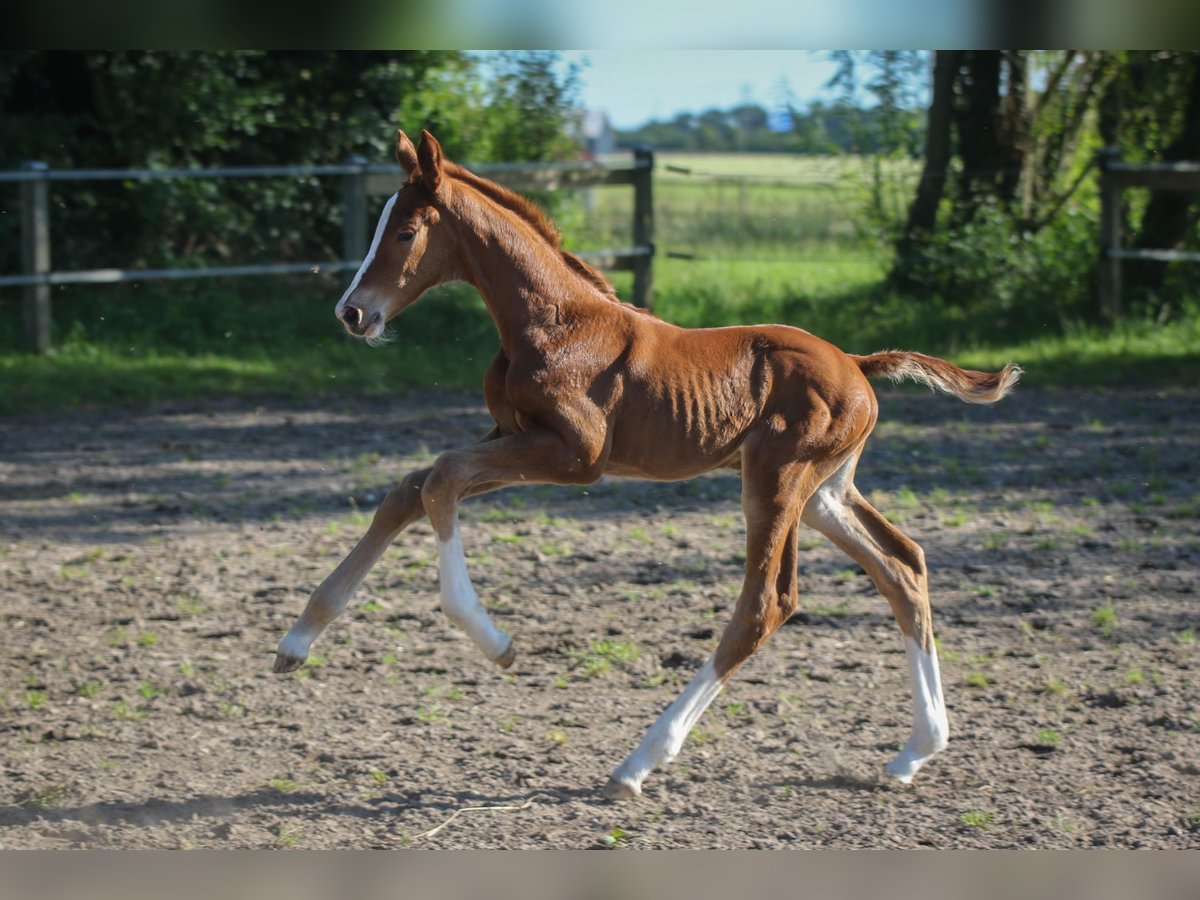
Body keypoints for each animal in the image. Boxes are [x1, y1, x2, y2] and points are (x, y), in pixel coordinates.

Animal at [276, 130, 1017, 801]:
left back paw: (638, 762)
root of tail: (859, 365)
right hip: (825, 491)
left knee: (766, 604)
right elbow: (412, 488)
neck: (555, 322)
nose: (352, 312)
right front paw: (297, 640)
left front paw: (495, 641)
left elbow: (442, 479)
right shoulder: (514, 435)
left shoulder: (576, 455)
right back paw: (916, 750)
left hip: (778, 479)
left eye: (405, 232)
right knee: (902, 565)